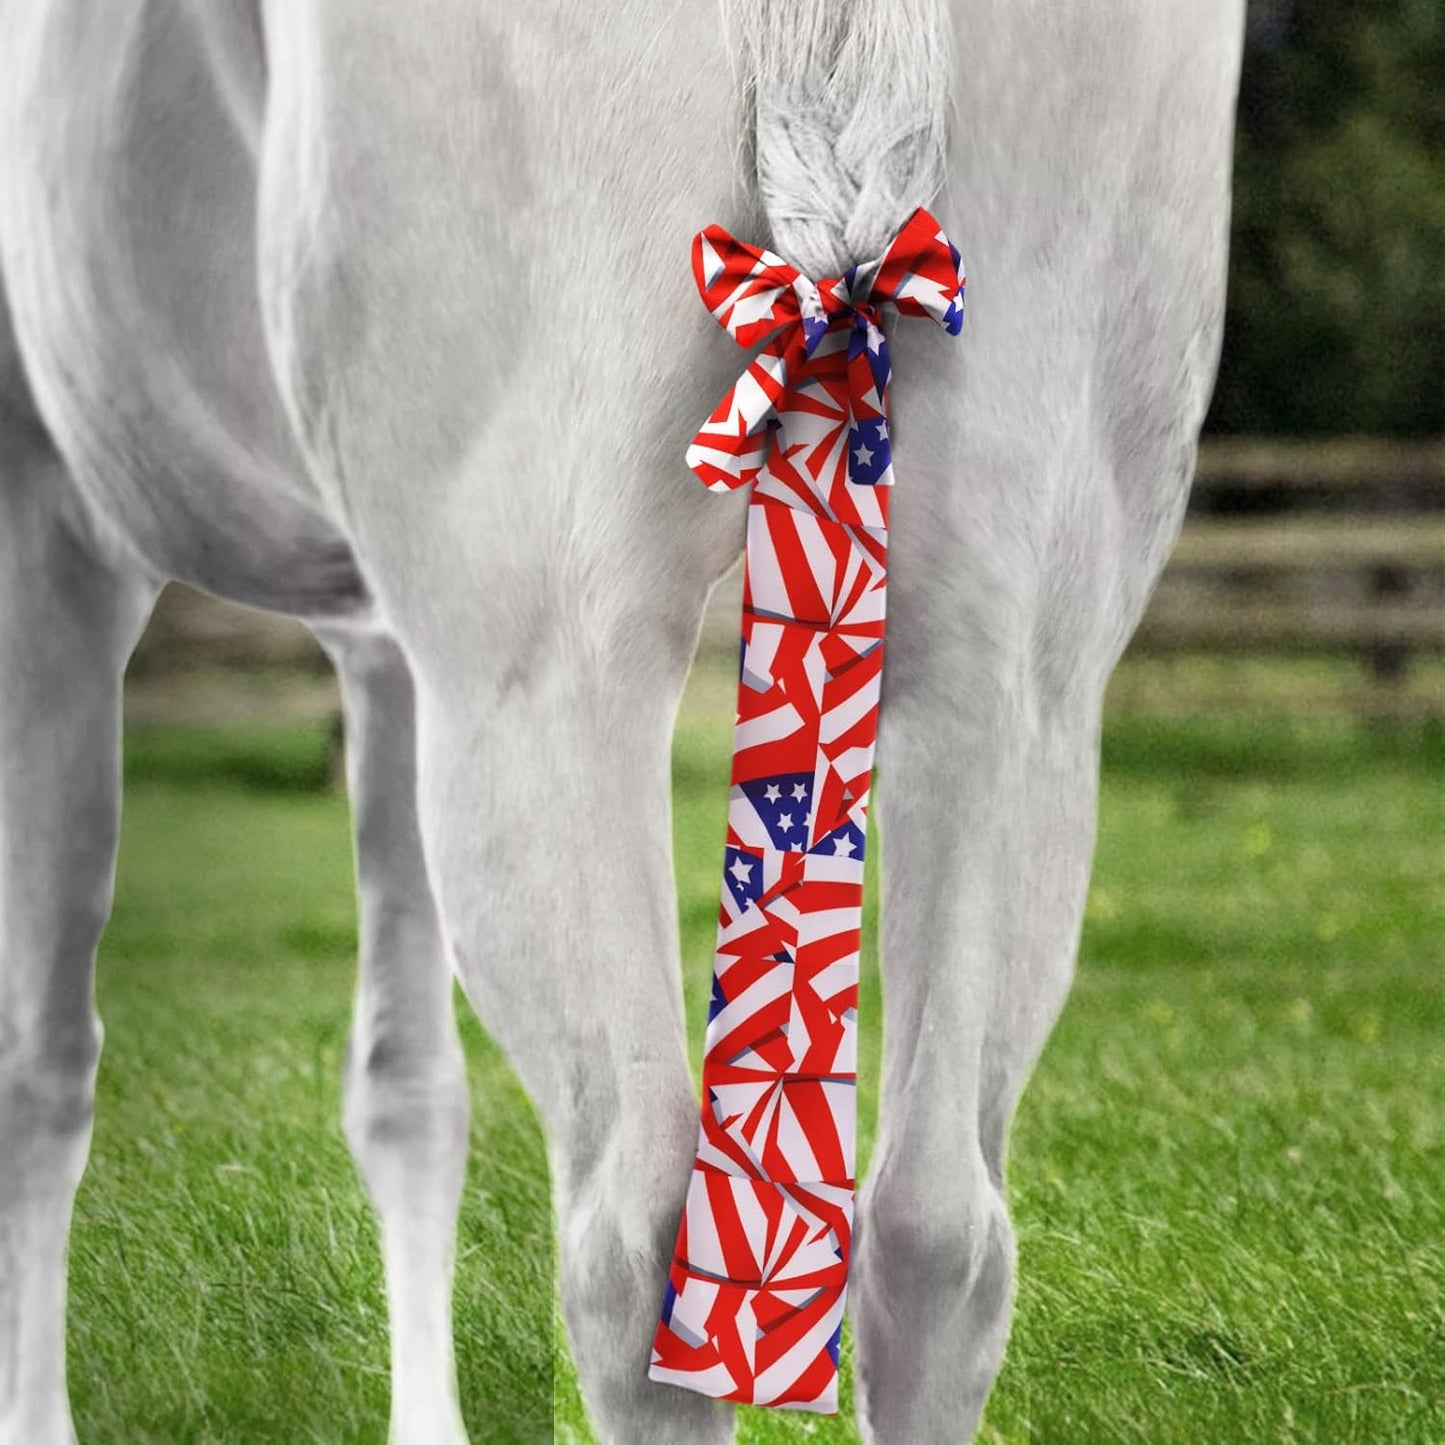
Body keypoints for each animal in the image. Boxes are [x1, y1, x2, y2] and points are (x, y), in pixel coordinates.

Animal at [0, 2, 1245, 1439]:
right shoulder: (379, 646)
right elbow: (404, 1088)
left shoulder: (51, 528)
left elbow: (40, 1068)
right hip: (1015, 656)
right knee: (938, 1233)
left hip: (547, 668)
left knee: (638, 1240)